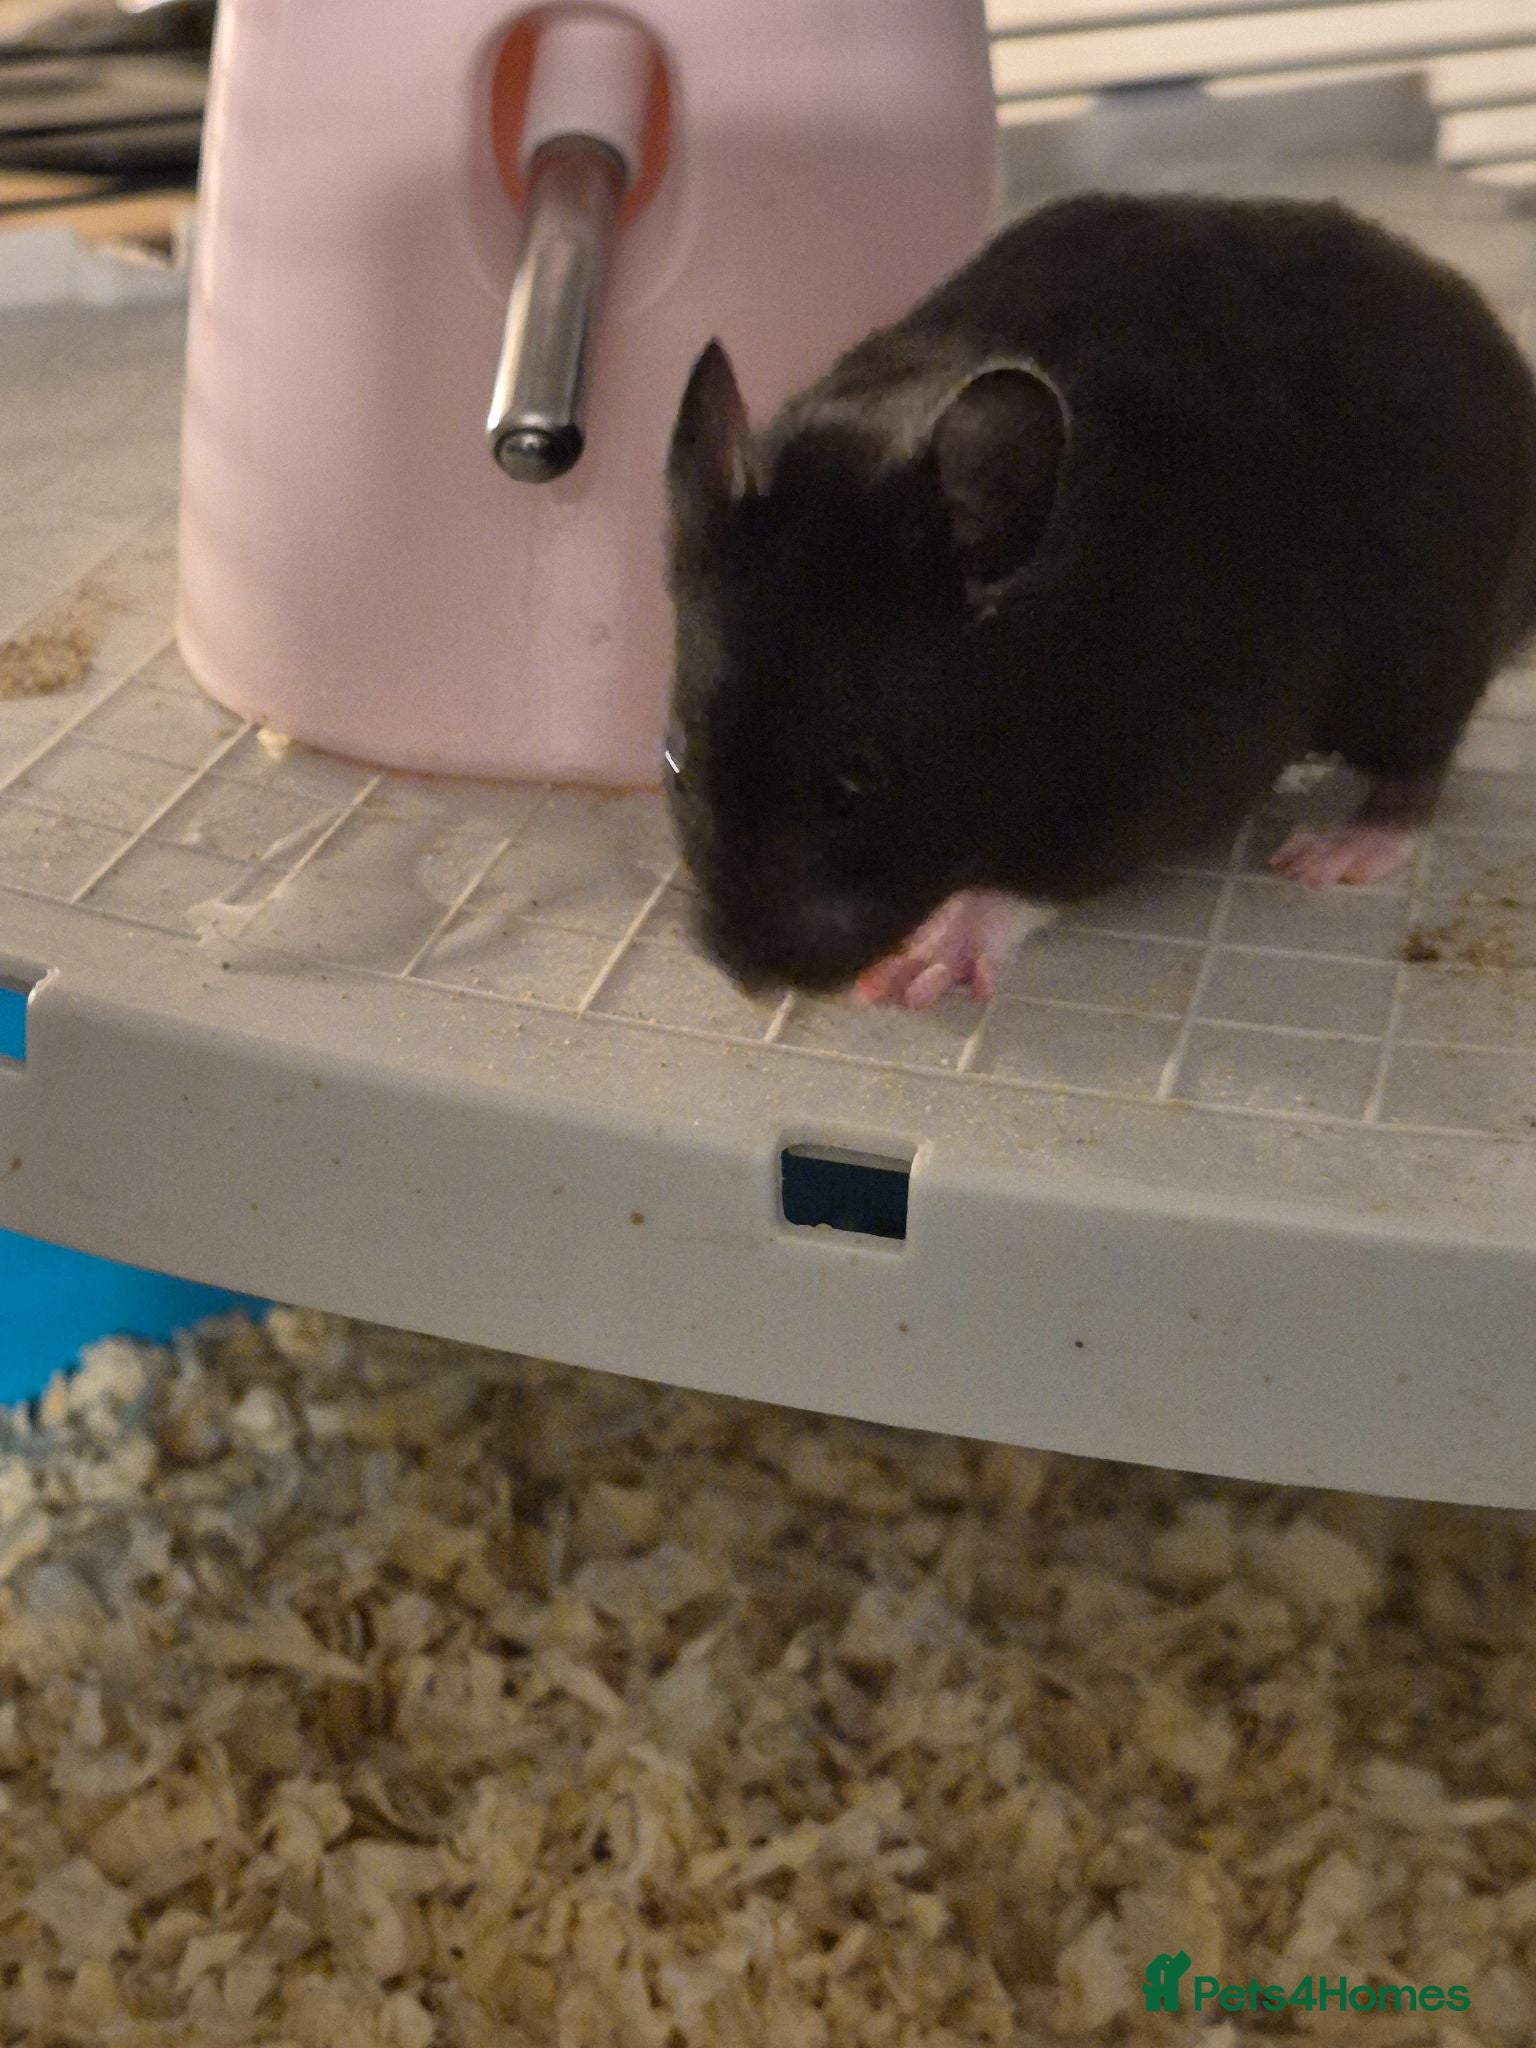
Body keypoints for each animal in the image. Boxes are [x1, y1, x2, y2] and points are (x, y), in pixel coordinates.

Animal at [662, 190, 1536, 1009]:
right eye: (673, 761)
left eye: (856, 781)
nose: (750, 981)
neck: (1039, 644)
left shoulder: (1155, 778)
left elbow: (1027, 881)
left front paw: (920, 964)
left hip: (1417, 653)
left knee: (1419, 771)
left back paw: (1333, 851)